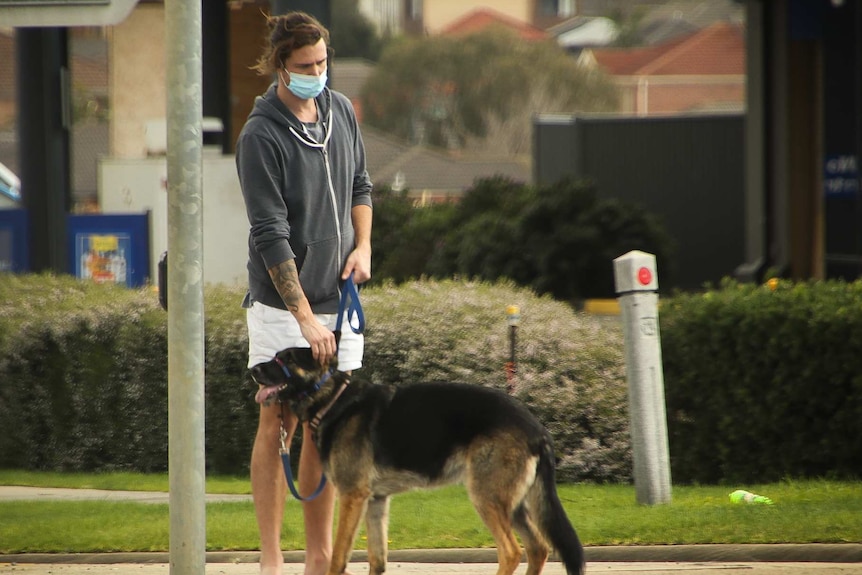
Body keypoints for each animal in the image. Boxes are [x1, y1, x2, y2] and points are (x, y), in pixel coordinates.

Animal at [250, 348, 588, 575]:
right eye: (276, 357)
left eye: (286, 359)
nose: (253, 370)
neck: (332, 399)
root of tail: (536, 427)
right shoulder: (375, 502)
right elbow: (377, 559)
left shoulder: (351, 497)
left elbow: (338, 557)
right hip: (512, 504)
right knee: (538, 548)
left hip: (487, 498)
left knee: (511, 552)